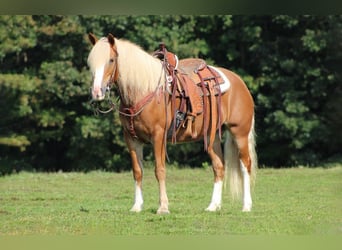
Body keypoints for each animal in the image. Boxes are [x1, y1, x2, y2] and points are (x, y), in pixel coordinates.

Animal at [87, 32, 258, 214]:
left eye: (111, 60)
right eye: (91, 63)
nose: (97, 92)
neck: (143, 91)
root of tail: (240, 83)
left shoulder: (158, 136)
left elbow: (160, 170)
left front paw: (163, 207)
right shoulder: (131, 138)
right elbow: (137, 171)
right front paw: (137, 206)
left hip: (239, 133)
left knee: (245, 165)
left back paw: (246, 206)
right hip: (211, 137)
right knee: (219, 166)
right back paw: (213, 206)